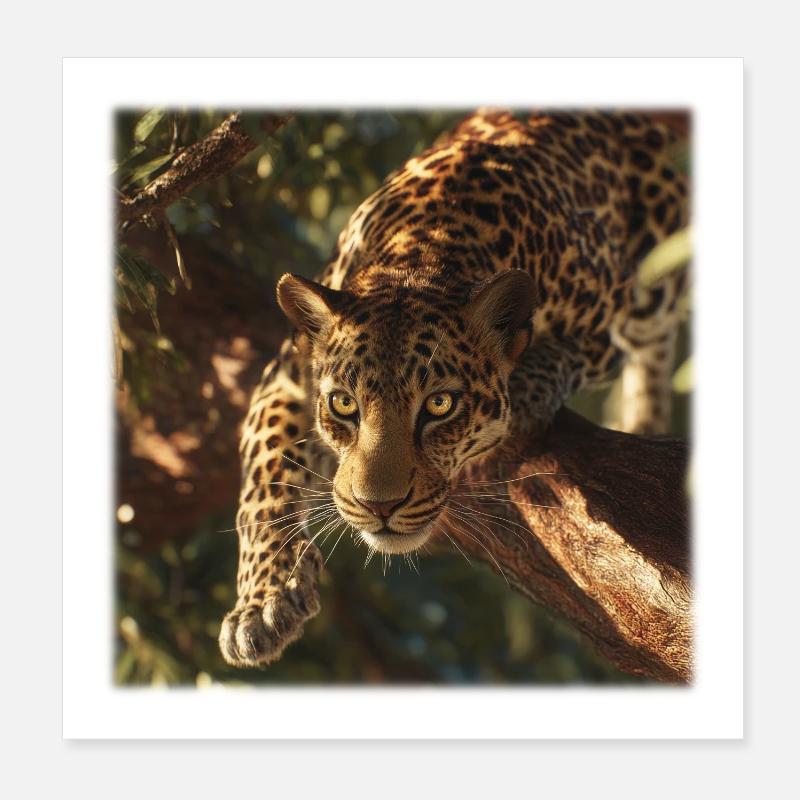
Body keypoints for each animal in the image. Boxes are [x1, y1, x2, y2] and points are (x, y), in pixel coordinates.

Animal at [218, 109, 690, 668]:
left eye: (440, 405)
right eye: (343, 404)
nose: (379, 507)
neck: (423, 250)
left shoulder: (607, 316)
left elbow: (571, 354)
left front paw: (528, 389)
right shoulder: (287, 377)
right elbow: (262, 482)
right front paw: (262, 602)